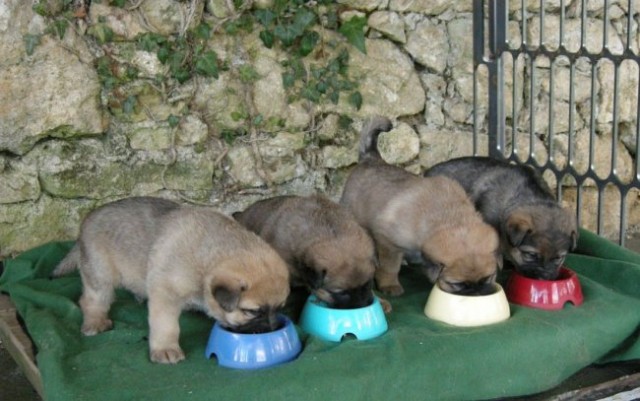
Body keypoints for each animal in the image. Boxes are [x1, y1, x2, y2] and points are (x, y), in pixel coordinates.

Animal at [53, 195, 288, 364]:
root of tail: (87, 220)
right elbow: (166, 325)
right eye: (252, 312)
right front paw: (165, 349)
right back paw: (95, 322)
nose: (273, 328)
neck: (206, 260)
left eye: (279, 308)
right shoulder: (165, 293)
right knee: (92, 300)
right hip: (100, 273)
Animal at [340, 117, 500, 296]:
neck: (449, 217)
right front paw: (389, 285)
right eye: (458, 284)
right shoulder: (389, 243)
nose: (477, 292)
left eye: (488, 278)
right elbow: (390, 267)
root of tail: (370, 157)